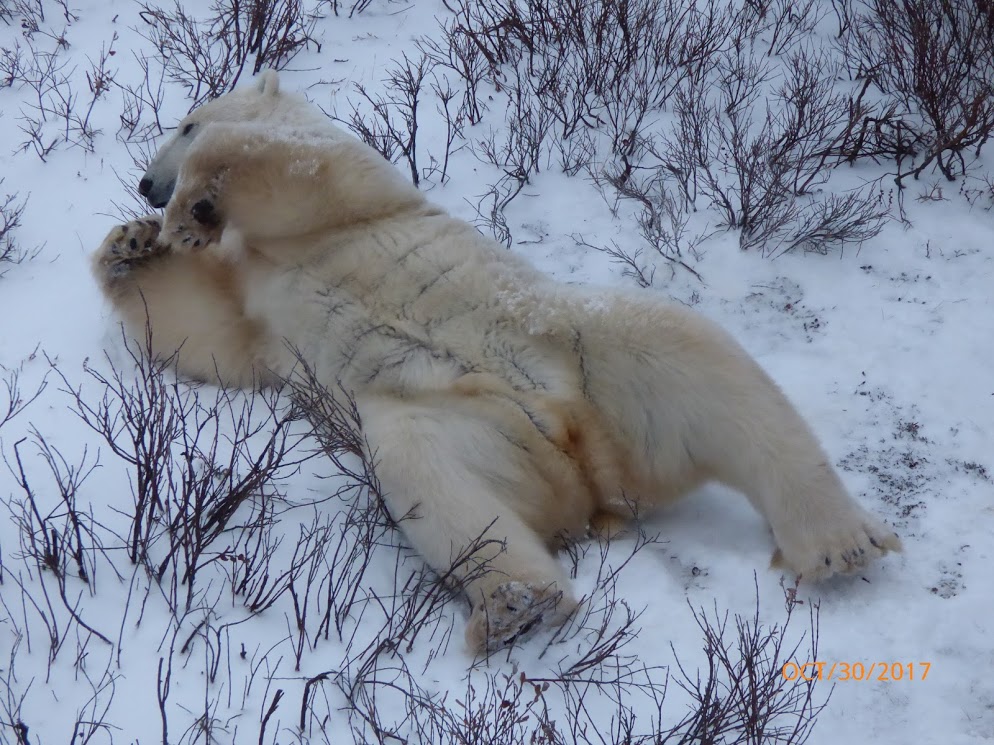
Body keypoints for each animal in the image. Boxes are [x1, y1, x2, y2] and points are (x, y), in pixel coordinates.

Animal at [92, 70, 902, 653]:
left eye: (187, 121)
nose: (146, 185)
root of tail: (590, 464)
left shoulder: (359, 193)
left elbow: (303, 173)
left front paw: (193, 203)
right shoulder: (256, 307)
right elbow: (212, 331)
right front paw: (130, 244)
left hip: (589, 343)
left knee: (711, 368)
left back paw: (839, 540)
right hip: (458, 417)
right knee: (435, 479)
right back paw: (518, 604)